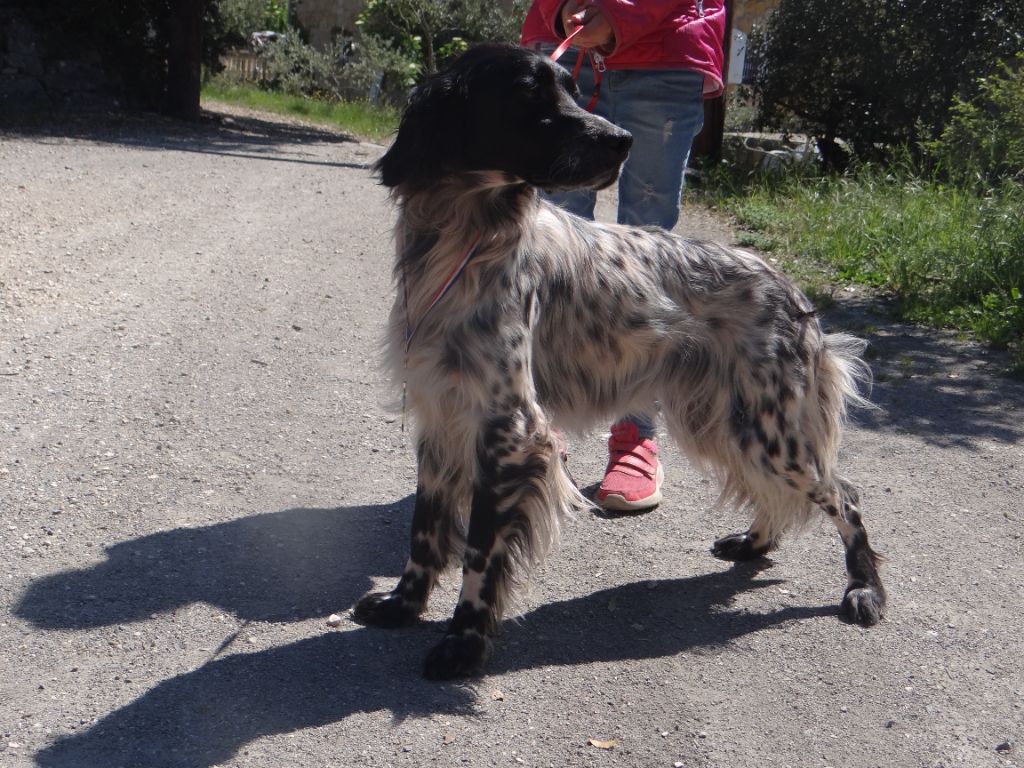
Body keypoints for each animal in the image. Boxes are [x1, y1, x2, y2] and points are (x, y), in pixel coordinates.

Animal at [352, 43, 880, 679]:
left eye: (573, 87)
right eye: (529, 92)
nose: (623, 139)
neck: (462, 235)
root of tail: (793, 291)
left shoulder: (511, 430)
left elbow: (479, 553)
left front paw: (463, 641)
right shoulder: (440, 413)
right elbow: (424, 531)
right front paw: (402, 605)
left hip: (767, 430)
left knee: (846, 495)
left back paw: (864, 589)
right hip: (726, 421)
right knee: (780, 495)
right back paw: (753, 544)